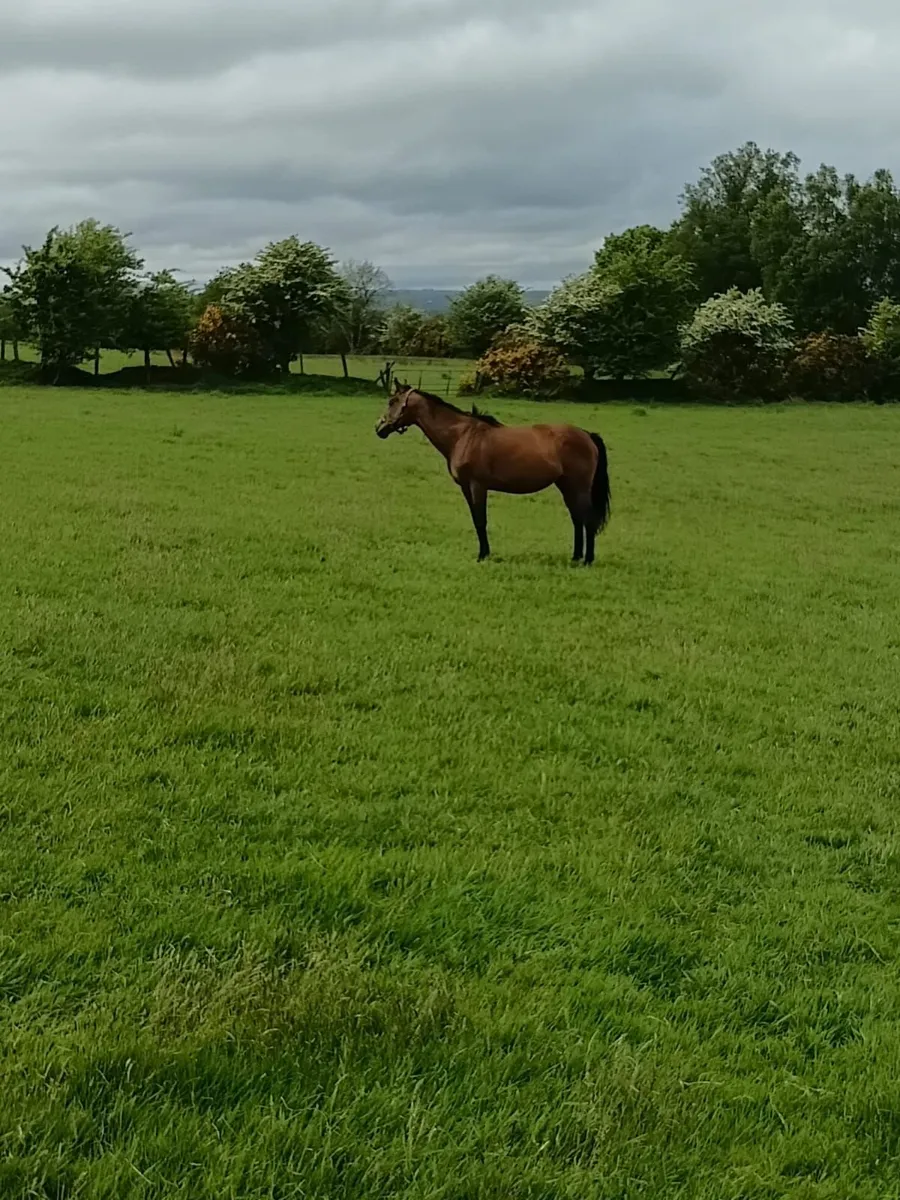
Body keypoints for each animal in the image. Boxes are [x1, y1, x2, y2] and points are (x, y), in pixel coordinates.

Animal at [375, 382, 610, 564]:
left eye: (392, 401)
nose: (379, 428)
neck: (463, 436)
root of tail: (587, 435)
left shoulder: (478, 486)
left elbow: (481, 520)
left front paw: (483, 555)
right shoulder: (466, 488)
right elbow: (475, 519)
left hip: (579, 487)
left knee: (588, 520)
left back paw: (587, 560)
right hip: (567, 486)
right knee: (577, 519)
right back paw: (575, 557)